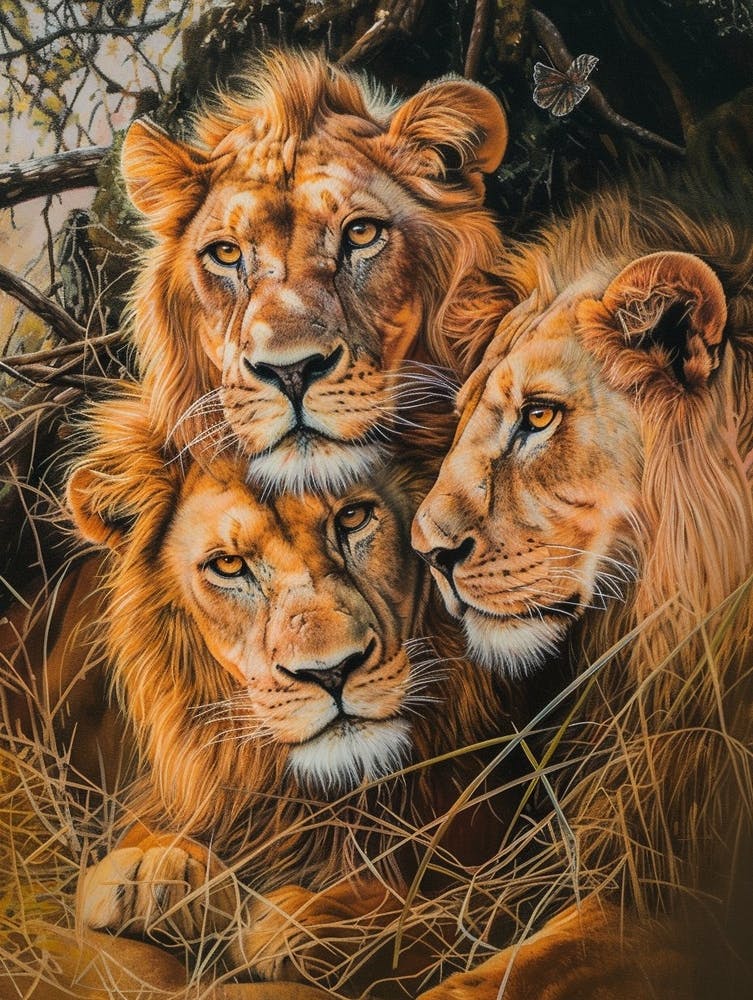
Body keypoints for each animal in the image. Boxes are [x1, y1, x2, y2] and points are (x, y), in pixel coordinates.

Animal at [66, 389, 527, 996]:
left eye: (352, 517)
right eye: (229, 564)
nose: (331, 672)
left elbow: (438, 912)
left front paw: (312, 922)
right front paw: (155, 870)